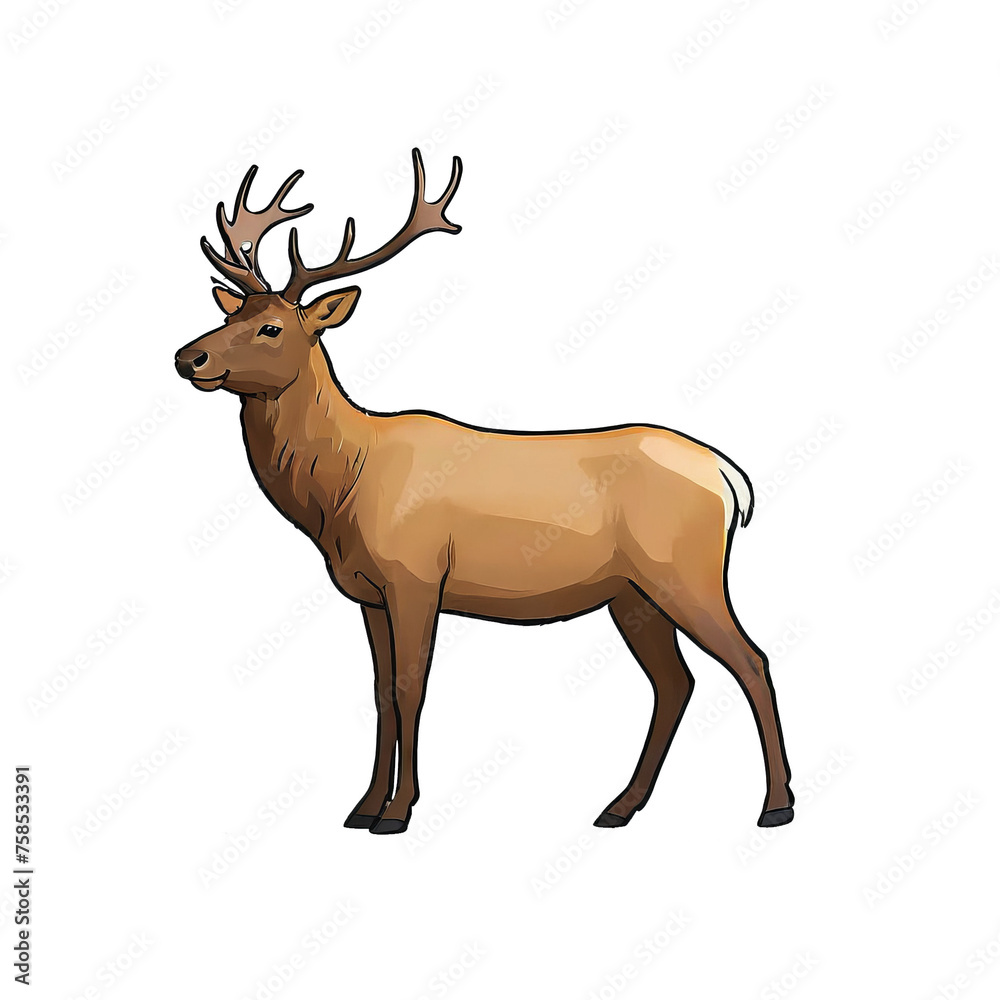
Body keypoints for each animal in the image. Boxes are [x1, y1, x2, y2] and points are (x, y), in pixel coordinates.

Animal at [175, 150, 794, 835]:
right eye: (229, 314)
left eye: (273, 328)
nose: (188, 357)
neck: (338, 492)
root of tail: (730, 478)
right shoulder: (366, 592)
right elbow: (380, 694)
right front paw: (362, 807)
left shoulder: (415, 577)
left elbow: (412, 689)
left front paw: (398, 811)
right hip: (632, 594)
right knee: (675, 682)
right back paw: (619, 806)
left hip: (686, 571)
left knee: (752, 660)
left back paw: (776, 805)